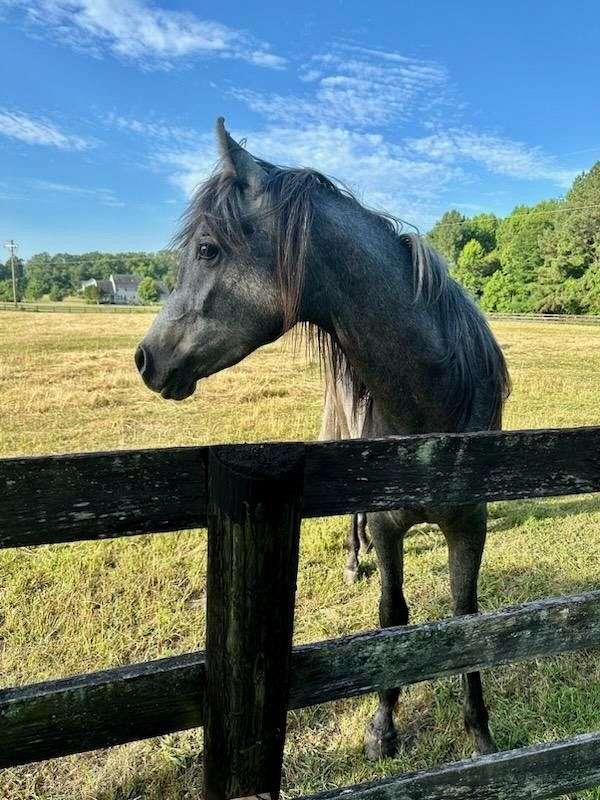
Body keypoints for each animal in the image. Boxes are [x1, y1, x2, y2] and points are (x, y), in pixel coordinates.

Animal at [136, 115, 510, 760]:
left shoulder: (470, 523)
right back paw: (354, 563)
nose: (145, 358)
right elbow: (392, 614)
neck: (432, 400)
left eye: (207, 249)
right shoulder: (388, 526)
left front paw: (479, 732)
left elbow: (467, 620)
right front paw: (382, 727)